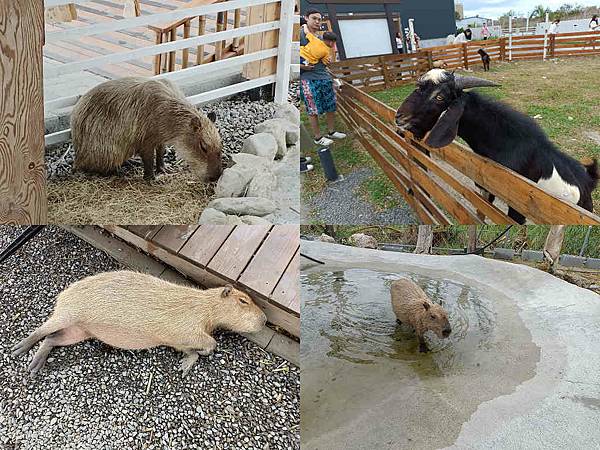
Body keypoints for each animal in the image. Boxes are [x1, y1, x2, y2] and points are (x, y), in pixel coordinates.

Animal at [396, 68, 596, 223]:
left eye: (439, 97)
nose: (399, 117)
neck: (507, 145)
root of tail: (589, 180)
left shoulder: (519, 204)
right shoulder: (485, 186)